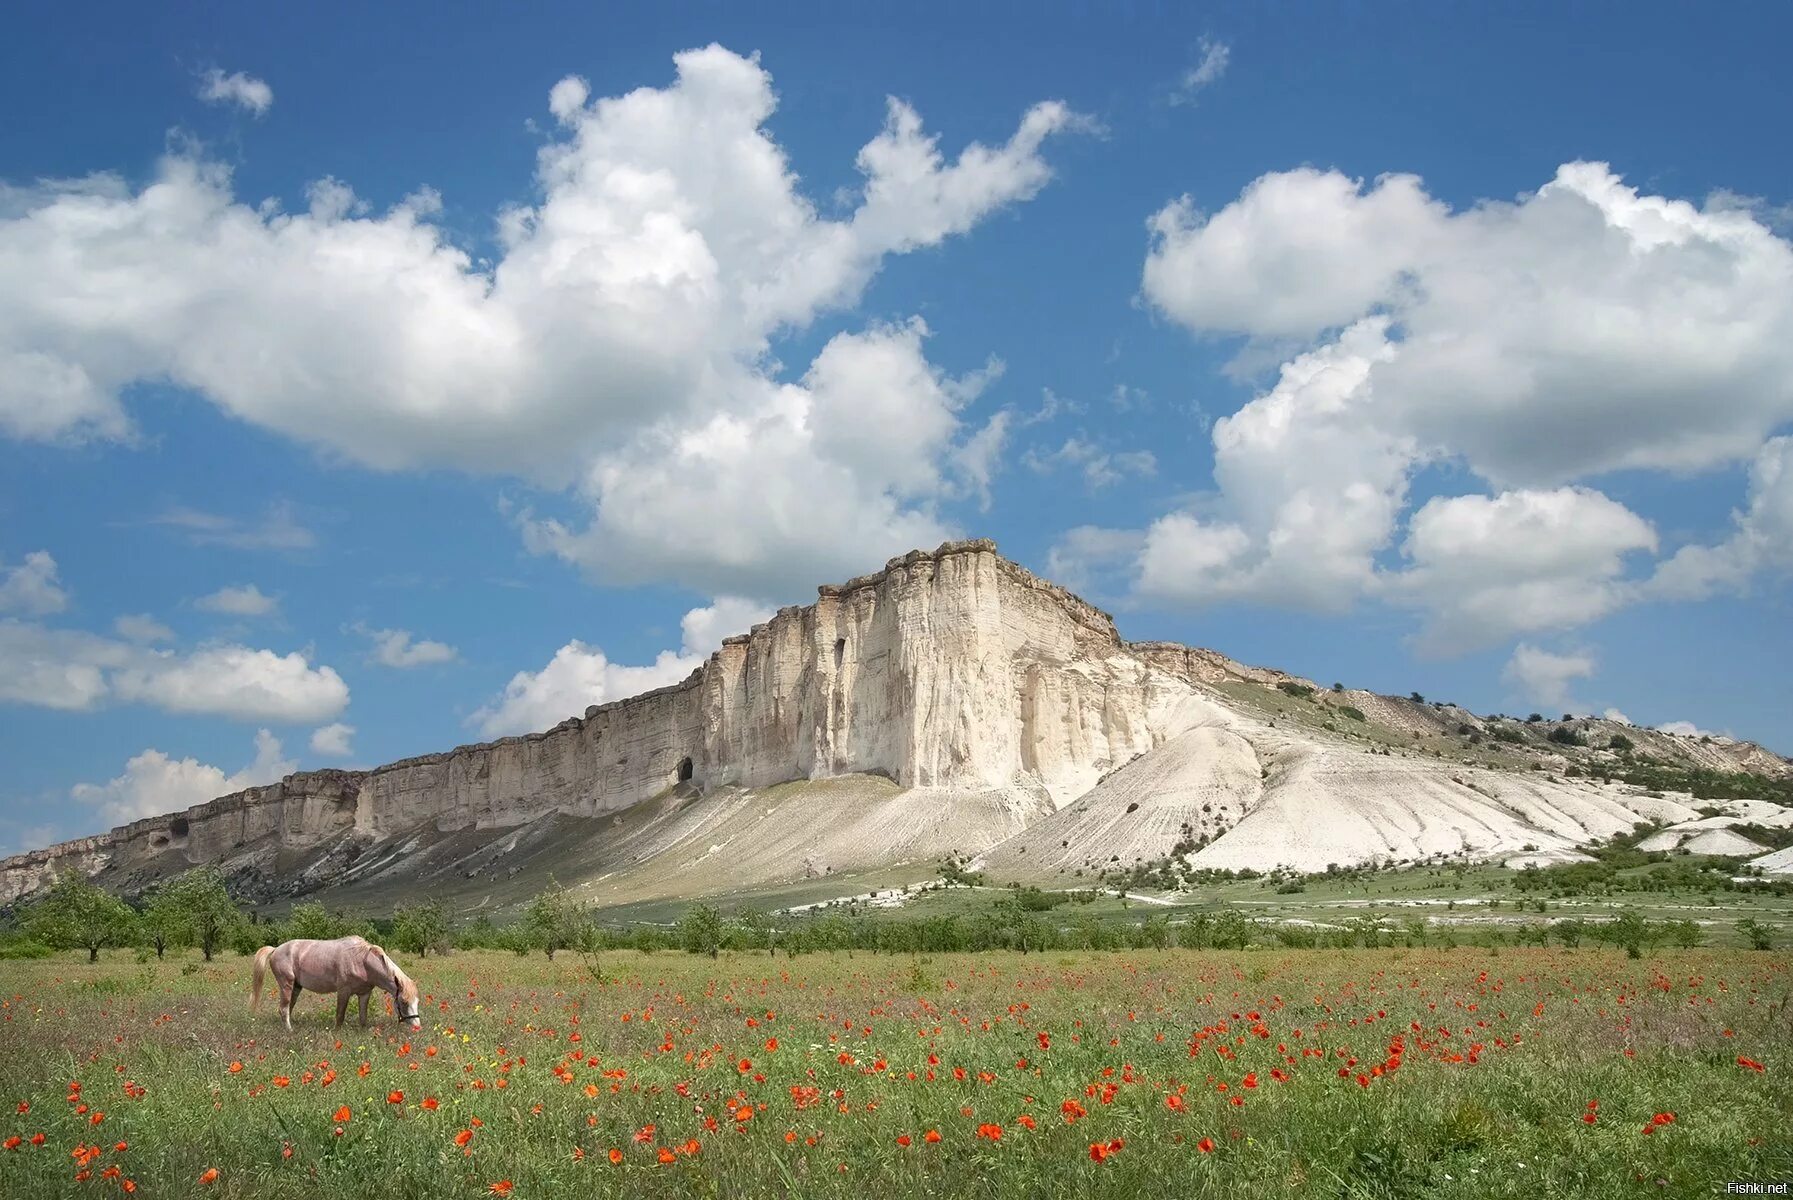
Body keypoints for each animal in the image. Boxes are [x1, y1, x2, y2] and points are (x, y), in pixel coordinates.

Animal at [251, 932, 421, 1033]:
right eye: (404, 1002)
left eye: (417, 1002)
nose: (417, 1027)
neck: (362, 961)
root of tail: (275, 949)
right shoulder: (343, 991)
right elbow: (340, 1015)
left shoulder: (365, 993)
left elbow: (363, 1016)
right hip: (286, 985)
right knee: (284, 1009)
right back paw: (290, 1031)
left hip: (296, 987)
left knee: (289, 1008)